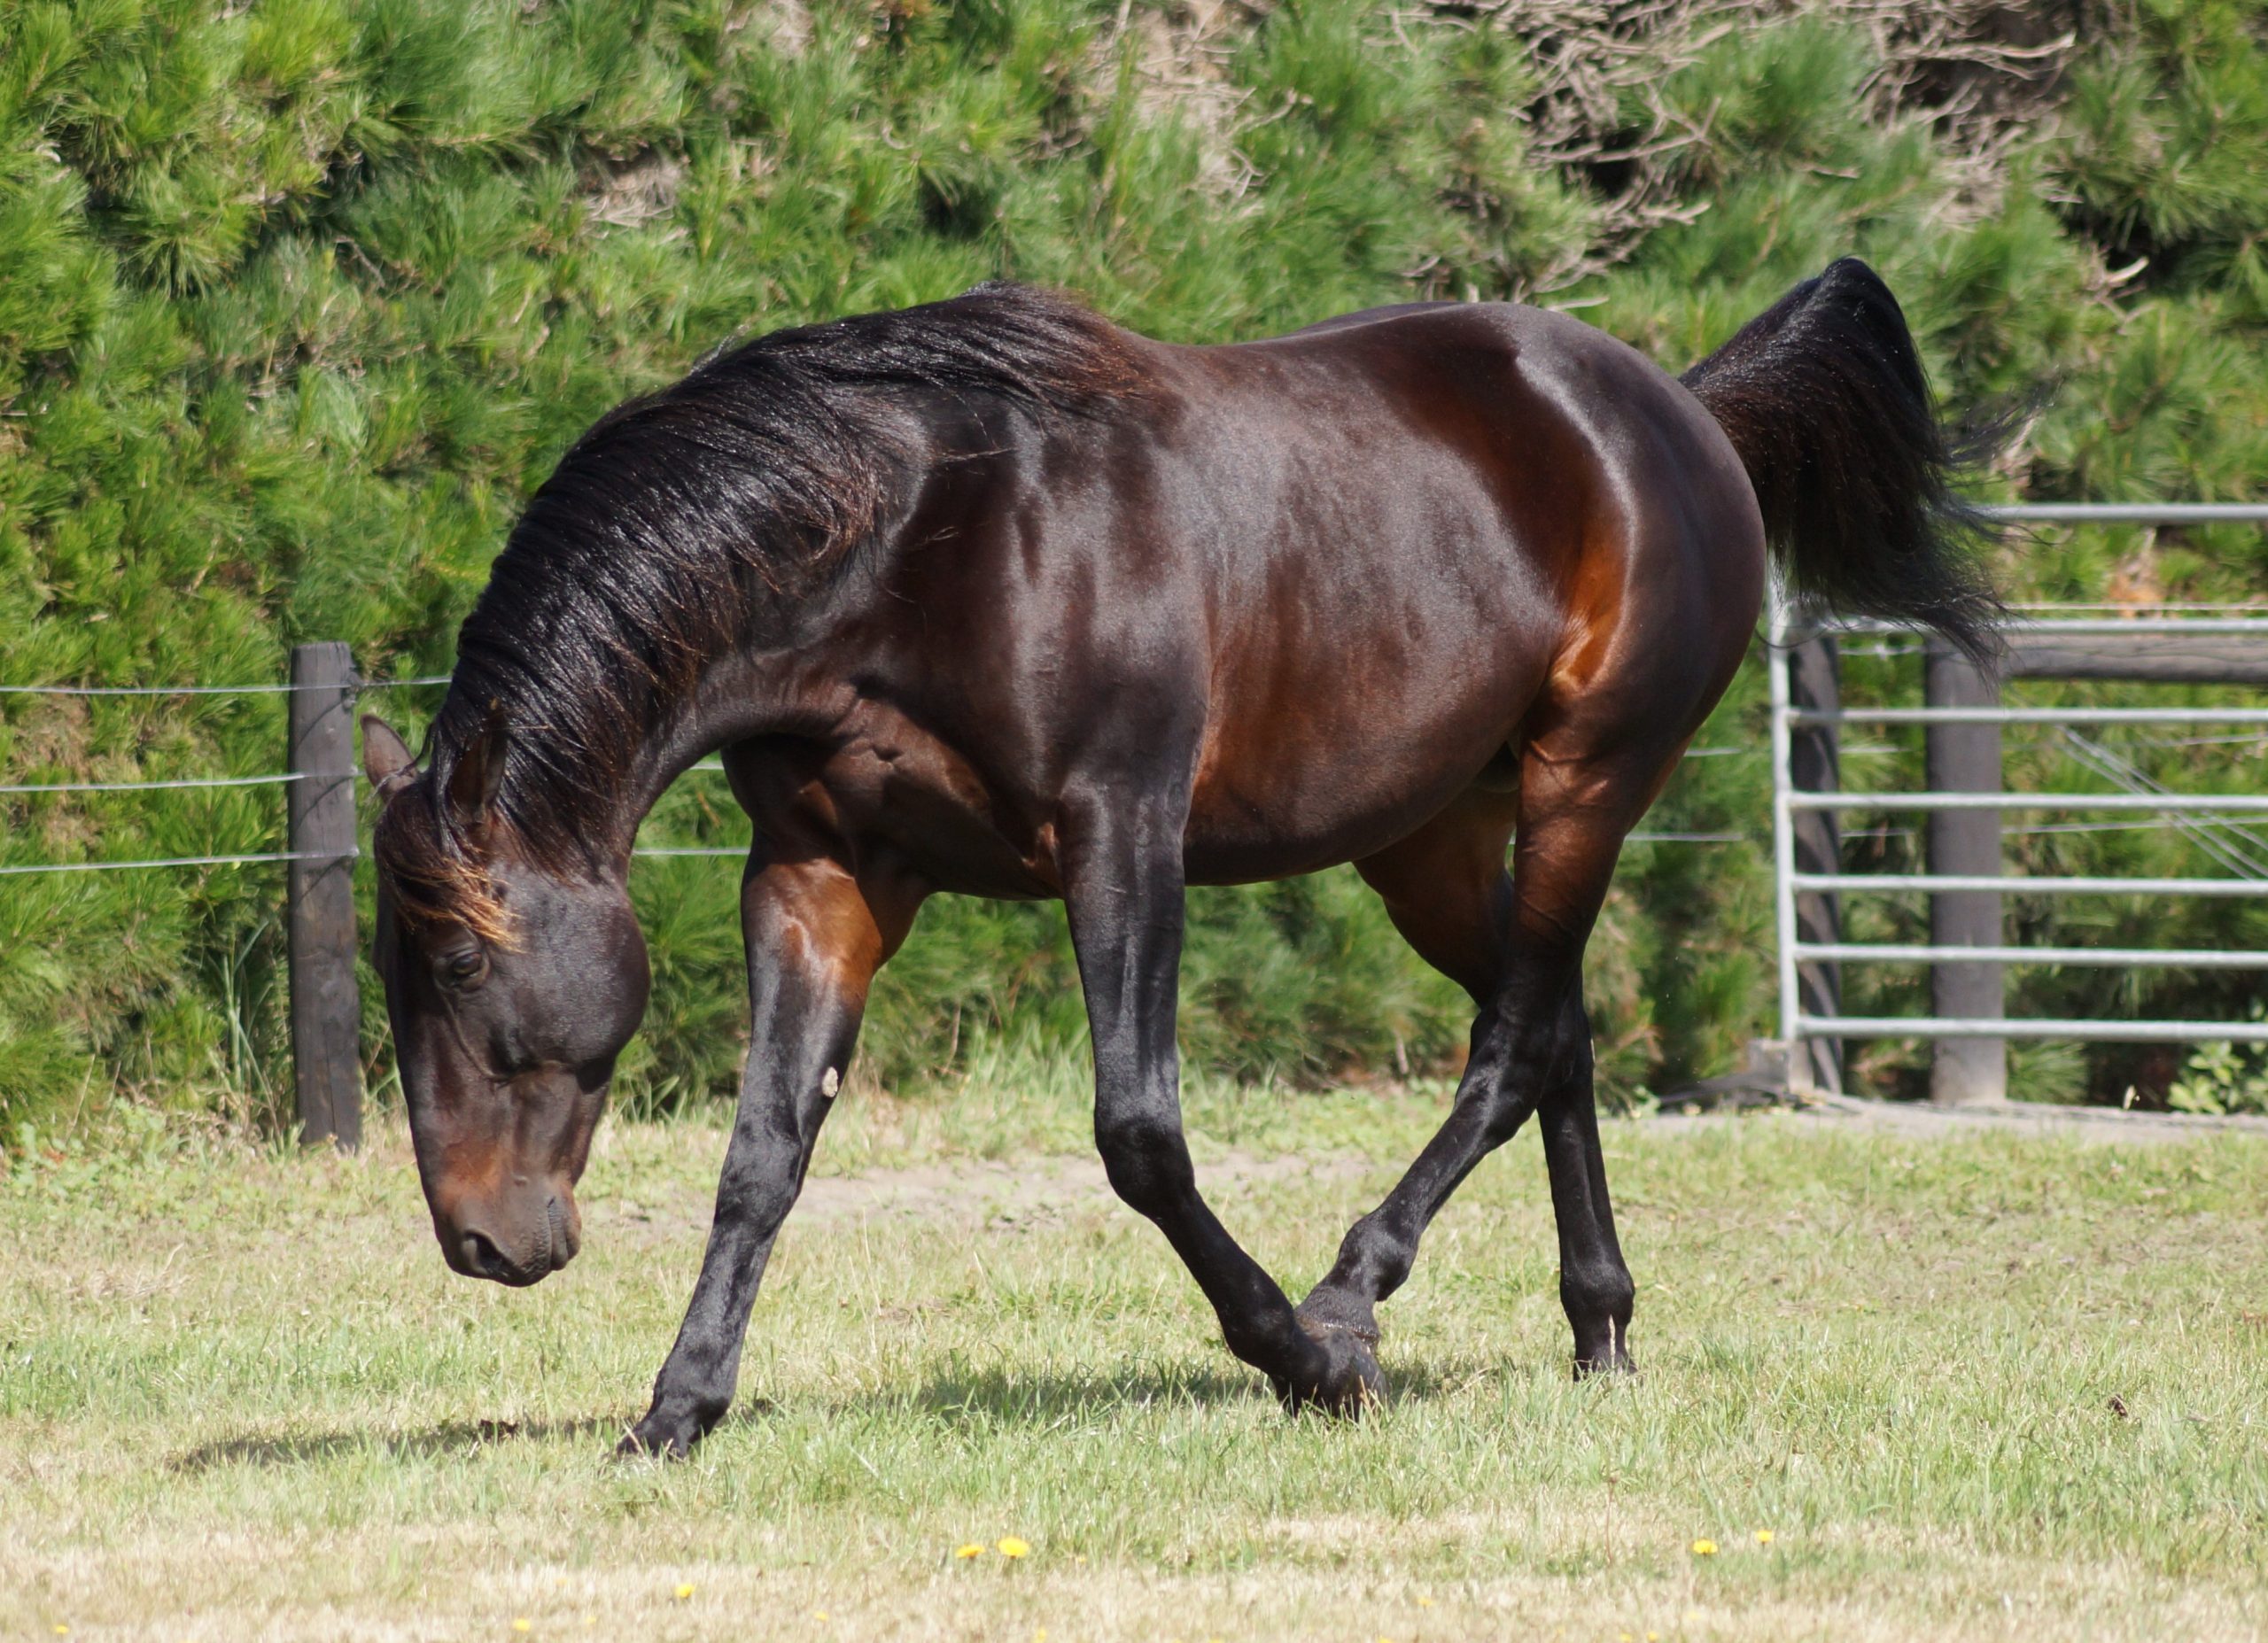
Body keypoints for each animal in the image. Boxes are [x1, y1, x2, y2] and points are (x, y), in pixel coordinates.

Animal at [359, 259, 2000, 1455]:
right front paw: (677, 1409)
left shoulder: (1122, 832)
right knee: (1561, 1029)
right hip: (1433, 832)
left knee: (1520, 1037)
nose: (483, 1241)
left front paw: (1308, 1362)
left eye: (457, 961)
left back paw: (1356, 1296)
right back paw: (1598, 1331)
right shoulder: (823, 877)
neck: (923, 540)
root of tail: (1682, 407)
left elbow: (1139, 1133)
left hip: (1586, 780)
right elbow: (764, 1154)